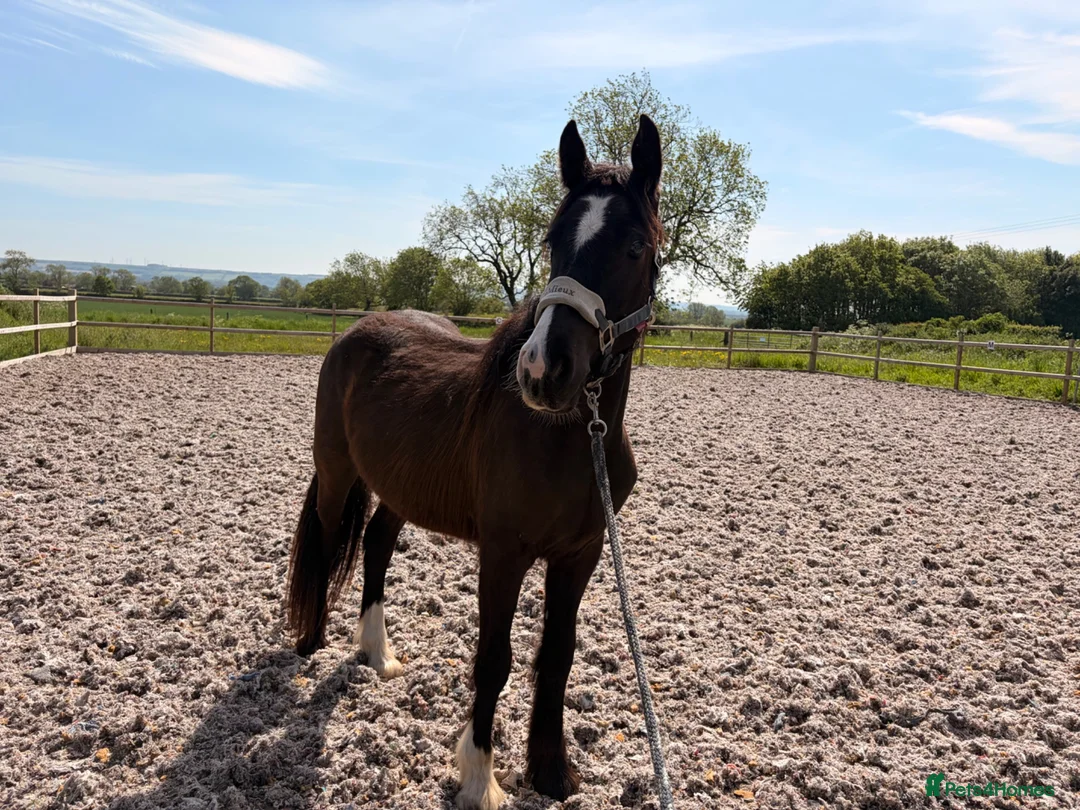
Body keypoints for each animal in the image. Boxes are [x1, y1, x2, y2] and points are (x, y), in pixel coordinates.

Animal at [286, 114, 664, 810]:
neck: (566, 437)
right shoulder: (504, 551)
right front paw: (479, 779)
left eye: (633, 247)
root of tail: (354, 334)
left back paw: (378, 655)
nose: (544, 371)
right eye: (553, 240)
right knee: (326, 541)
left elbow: (557, 653)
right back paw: (309, 642)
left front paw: (552, 772)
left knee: (376, 544)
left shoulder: (583, 551)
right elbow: (495, 658)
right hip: (337, 472)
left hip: (401, 489)